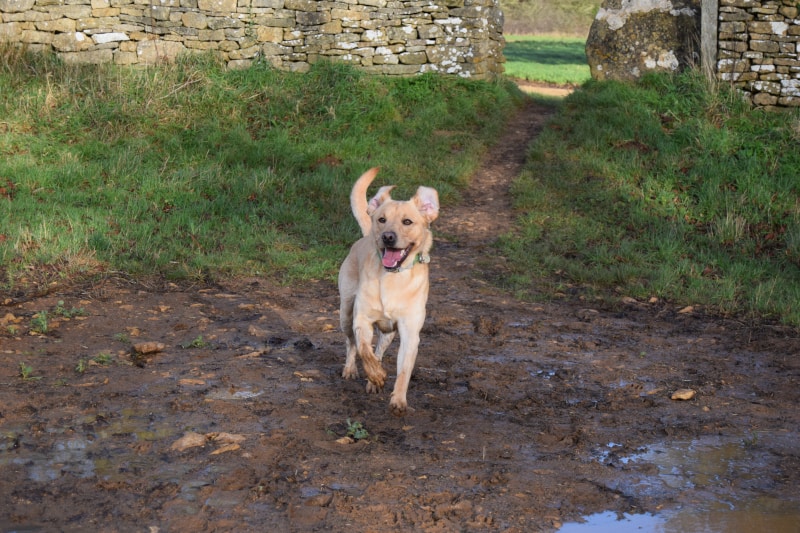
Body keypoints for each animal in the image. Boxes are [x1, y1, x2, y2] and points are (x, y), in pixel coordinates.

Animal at [336, 166, 440, 416]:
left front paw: (399, 400)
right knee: (352, 343)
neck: (393, 279)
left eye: (407, 221)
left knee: (380, 349)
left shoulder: (410, 333)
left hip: (389, 333)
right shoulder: (362, 320)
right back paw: (352, 369)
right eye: (382, 220)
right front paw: (376, 375)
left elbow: (403, 370)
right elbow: (364, 349)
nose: (388, 237)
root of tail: (364, 237)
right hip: (345, 313)